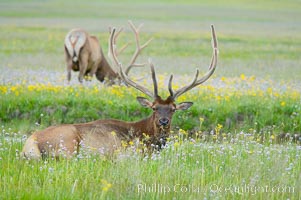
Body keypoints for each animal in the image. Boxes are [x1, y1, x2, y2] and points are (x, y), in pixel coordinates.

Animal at [21, 25, 218, 159]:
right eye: (154, 108)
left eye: (173, 108)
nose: (163, 121)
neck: (147, 138)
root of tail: (30, 145)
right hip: (68, 145)